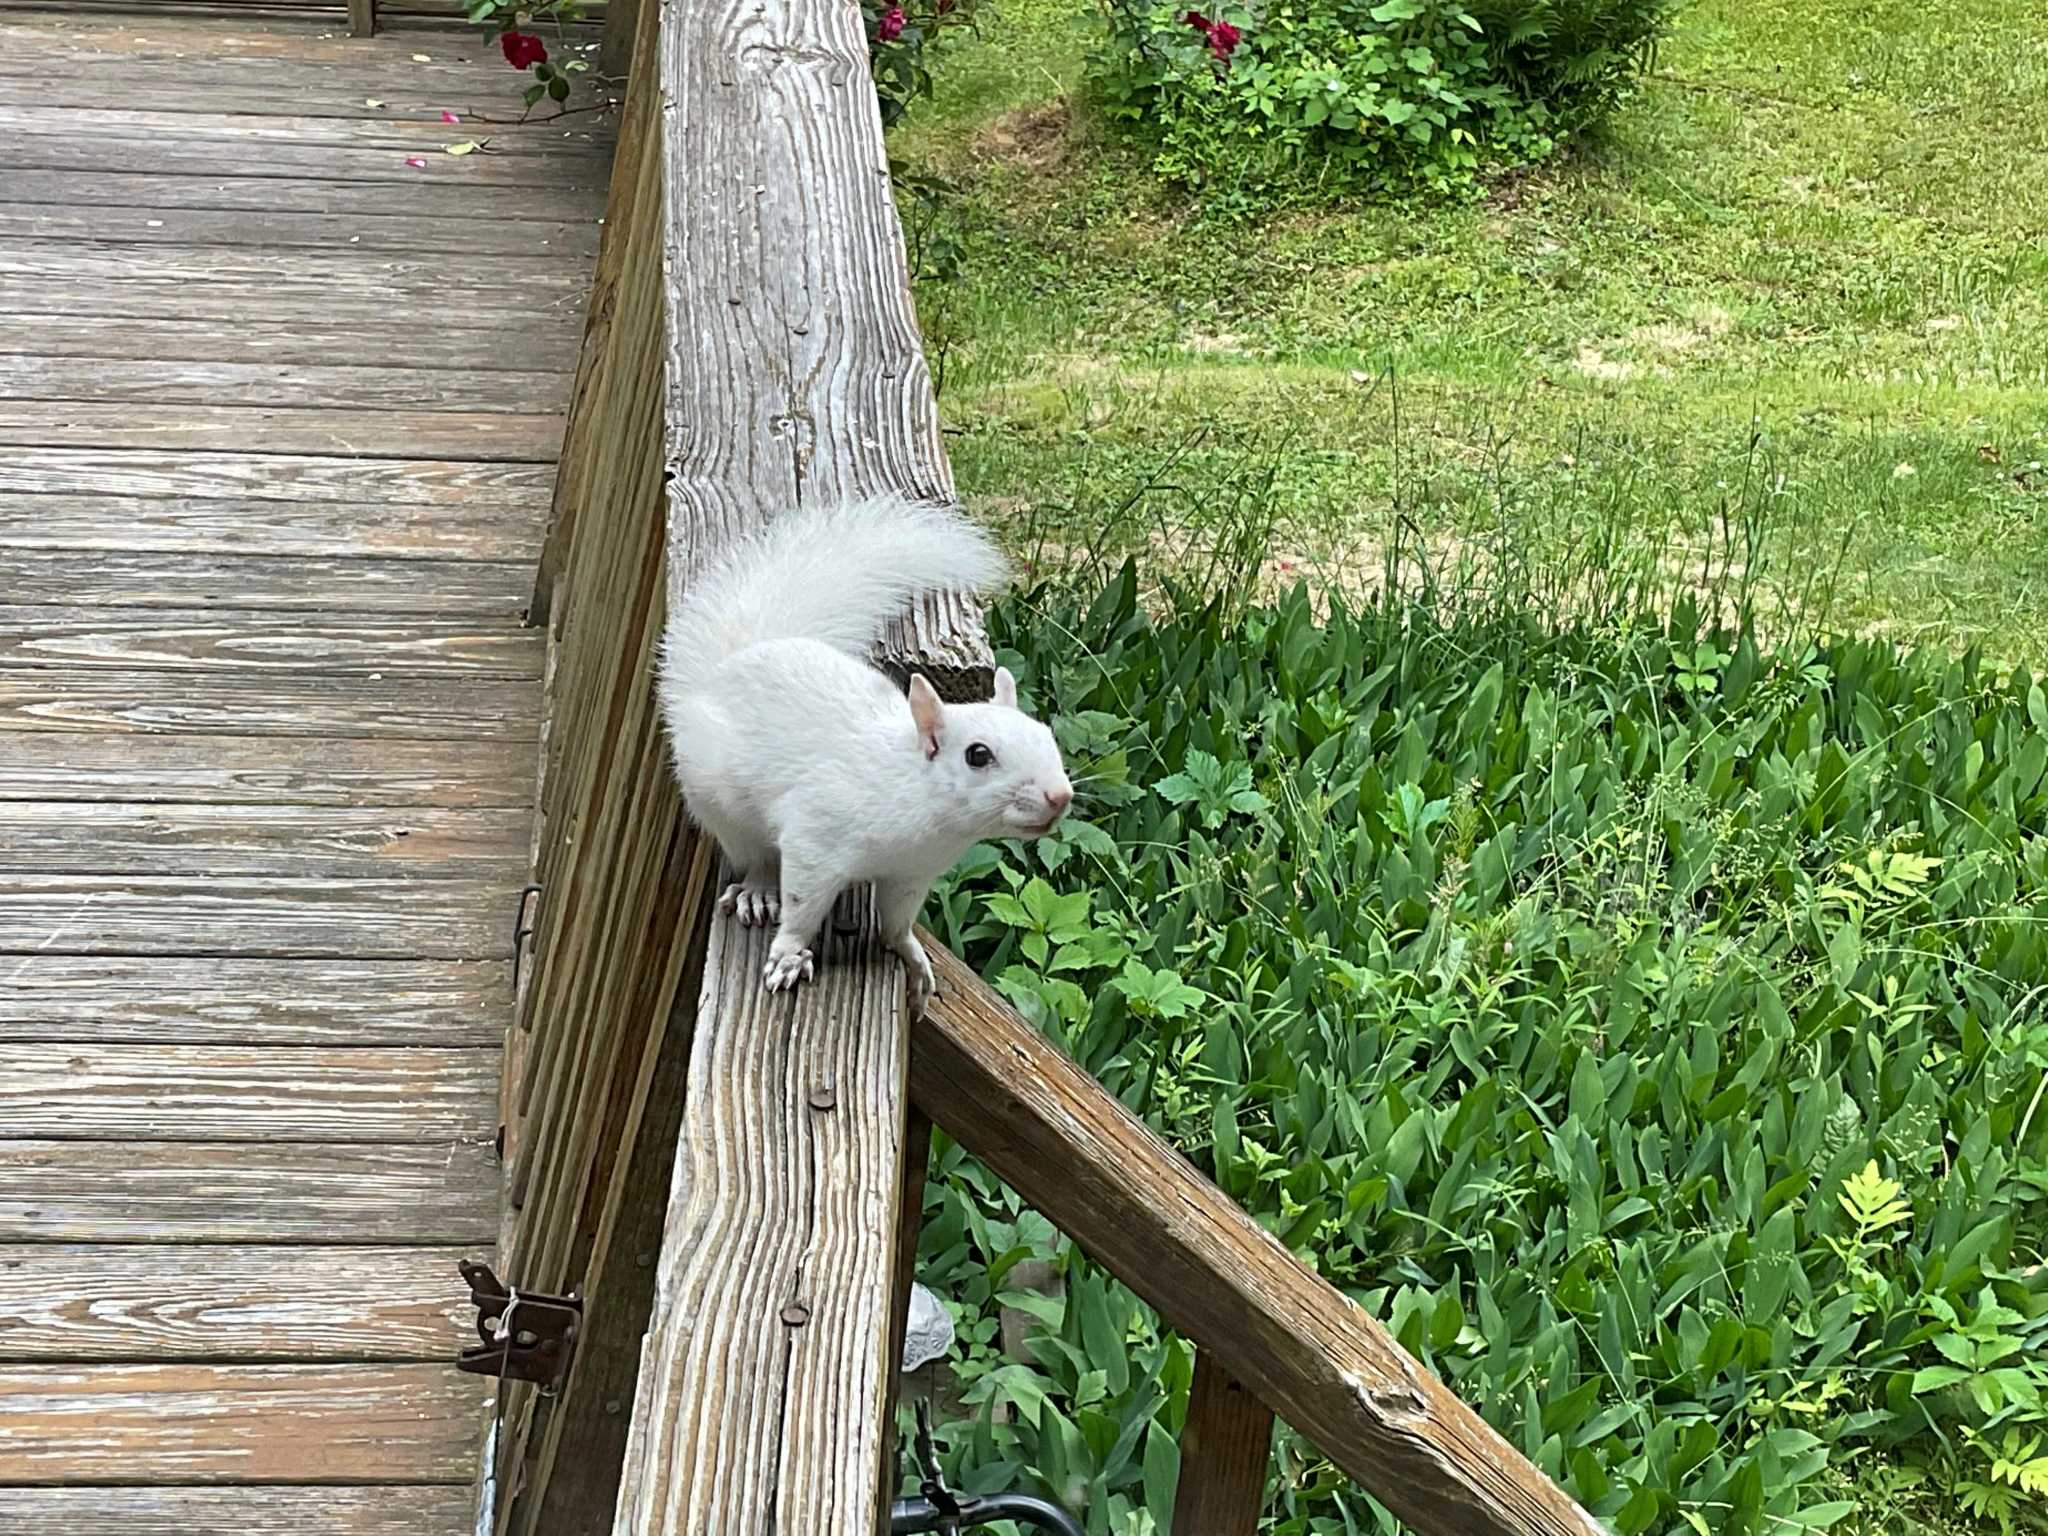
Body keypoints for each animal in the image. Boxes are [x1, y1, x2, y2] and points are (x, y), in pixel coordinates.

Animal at [657, 495, 1073, 1016]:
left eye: (1047, 736)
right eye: (978, 755)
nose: (1060, 796)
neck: (927, 814)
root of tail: (721, 671)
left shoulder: (911, 875)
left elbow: (896, 922)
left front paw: (913, 960)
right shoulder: (816, 838)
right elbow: (802, 905)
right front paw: (789, 954)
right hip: (721, 806)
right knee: (755, 854)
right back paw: (759, 888)